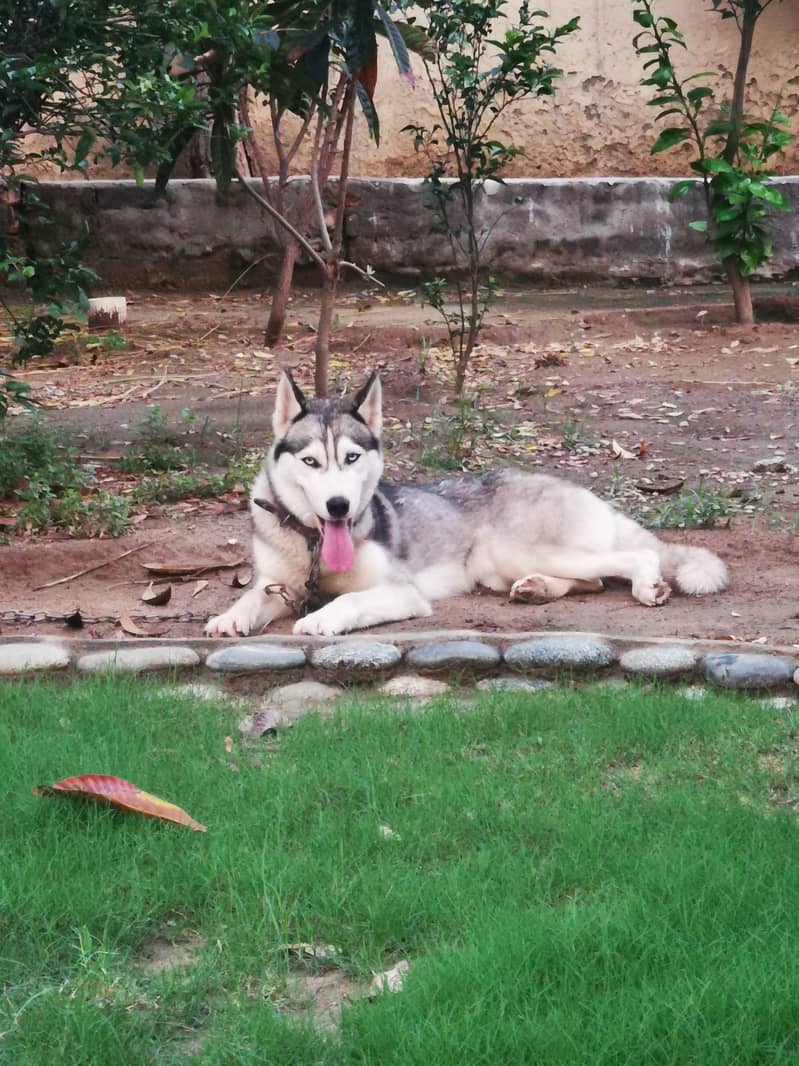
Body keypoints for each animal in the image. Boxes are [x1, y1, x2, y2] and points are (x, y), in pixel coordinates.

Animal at [204, 370, 724, 635]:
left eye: (351, 457)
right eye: (311, 462)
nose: (338, 506)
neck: (313, 547)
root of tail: (573, 486)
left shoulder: (401, 592)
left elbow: (350, 599)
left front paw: (322, 618)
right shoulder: (277, 584)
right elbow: (251, 597)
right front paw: (229, 618)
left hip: (514, 549)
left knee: (634, 557)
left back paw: (646, 584)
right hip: (502, 565)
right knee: (592, 580)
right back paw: (538, 588)